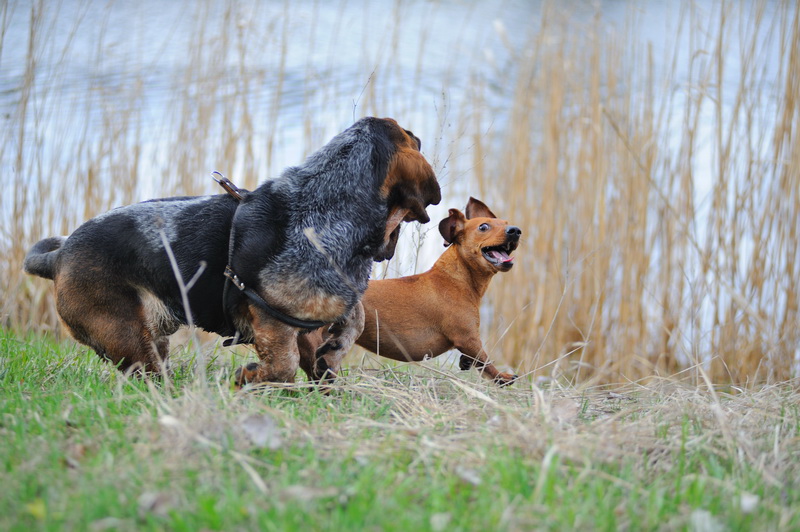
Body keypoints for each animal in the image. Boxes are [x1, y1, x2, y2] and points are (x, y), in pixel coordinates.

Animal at [23, 117, 444, 382]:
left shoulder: (310, 317)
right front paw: (250, 378)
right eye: (413, 137)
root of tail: (59, 255)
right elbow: (284, 367)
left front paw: (332, 359)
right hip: (129, 337)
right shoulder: (272, 320)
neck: (325, 207)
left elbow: (350, 322)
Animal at [298, 197, 520, 384]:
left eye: (506, 222)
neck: (455, 277)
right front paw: (503, 376)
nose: (516, 230)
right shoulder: (469, 338)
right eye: (484, 227)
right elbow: (486, 363)